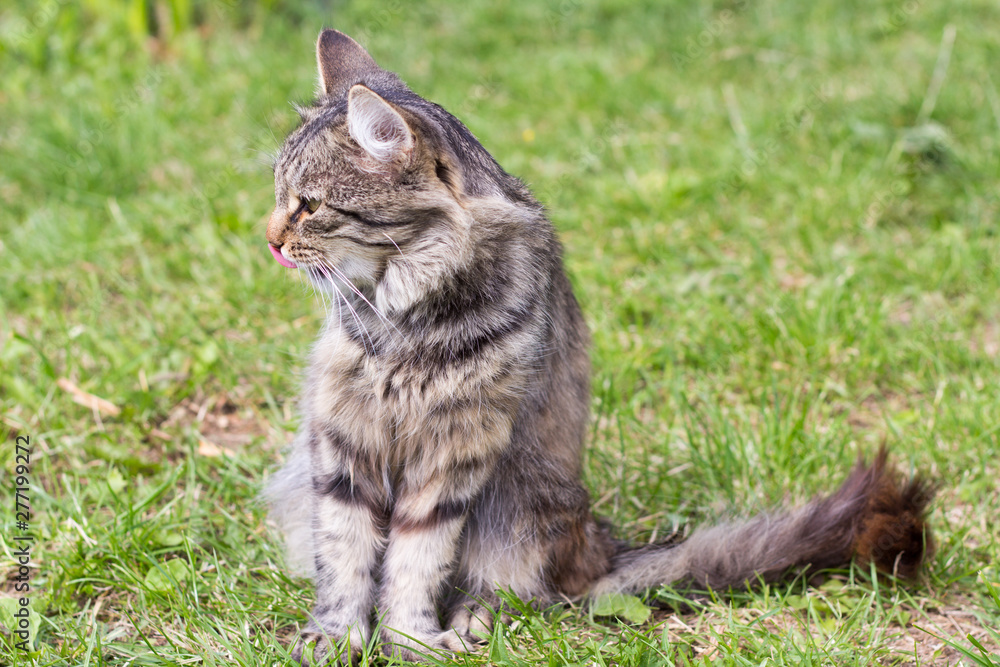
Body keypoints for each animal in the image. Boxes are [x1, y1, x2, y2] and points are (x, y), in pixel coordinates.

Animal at [268, 28, 936, 664]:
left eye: (310, 206)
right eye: (279, 196)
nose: (269, 237)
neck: (406, 315)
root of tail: (600, 542)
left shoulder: (457, 451)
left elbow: (415, 561)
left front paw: (410, 641)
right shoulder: (344, 439)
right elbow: (346, 558)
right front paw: (337, 637)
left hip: (522, 500)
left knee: (518, 587)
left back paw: (475, 619)